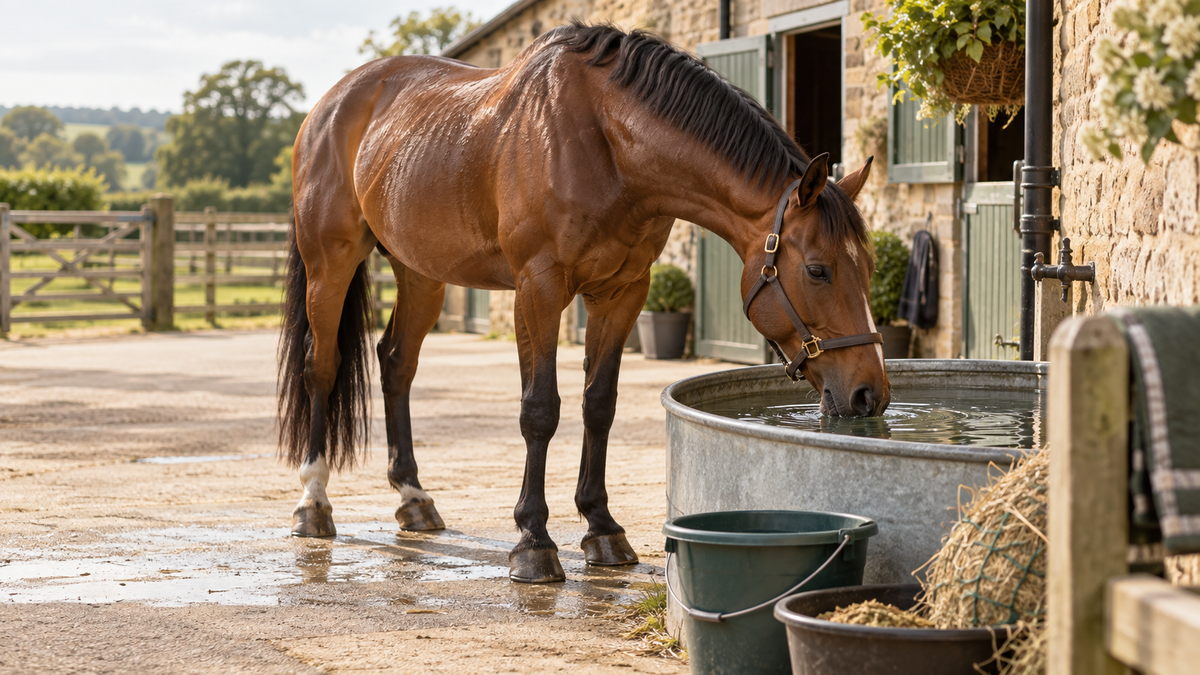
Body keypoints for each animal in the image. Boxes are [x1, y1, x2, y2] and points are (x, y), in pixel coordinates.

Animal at [278, 22, 890, 584]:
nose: (870, 395)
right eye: (817, 270)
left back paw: (413, 498)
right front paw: (533, 541)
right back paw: (313, 503)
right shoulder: (539, 288)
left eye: (870, 268)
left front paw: (602, 529)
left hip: (421, 273)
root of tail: (330, 104)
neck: (606, 143)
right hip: (330, 263)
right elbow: (540, 410)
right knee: (322, 366)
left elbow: (599, 404)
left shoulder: (622, 293)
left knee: (397, 364)